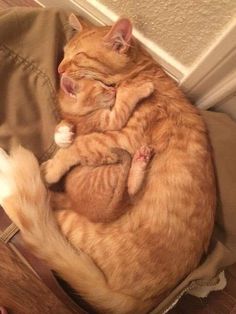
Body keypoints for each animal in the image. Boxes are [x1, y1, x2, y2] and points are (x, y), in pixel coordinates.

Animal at [0, 14, 216, 314]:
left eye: (79, 57)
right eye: (64, 53)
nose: (59, 68)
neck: (140, 74)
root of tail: (136, 302)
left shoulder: (124, 135)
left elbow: (82, 143)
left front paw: (53, 165)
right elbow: (72, 126)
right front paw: (63, 132)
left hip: (66, 218)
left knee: (48, 203)